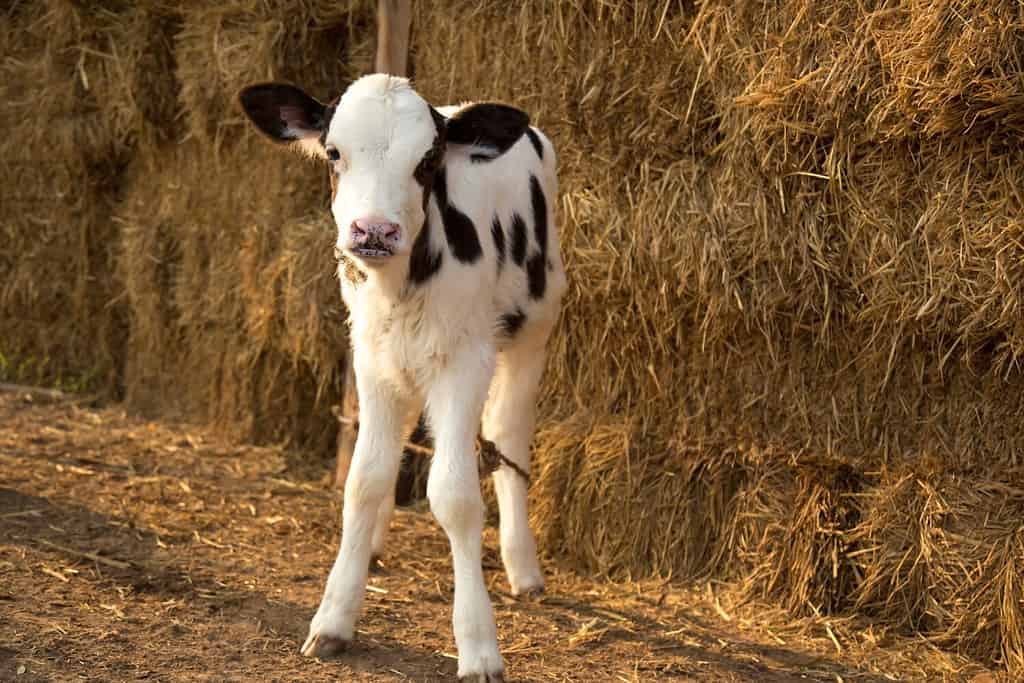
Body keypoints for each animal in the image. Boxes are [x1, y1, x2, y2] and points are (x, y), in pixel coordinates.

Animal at [237, 76, 569, 683]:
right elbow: (364, 479)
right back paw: (373, 544)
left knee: (508, 433)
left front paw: (478, 646)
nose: (374, 230)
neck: (401, 282)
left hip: (533, 328)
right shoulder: (370, 357)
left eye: (429, 160)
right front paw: (334, 618)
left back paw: (523, 567)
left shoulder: (466, 360)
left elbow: (455, 495)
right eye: (333, 152)